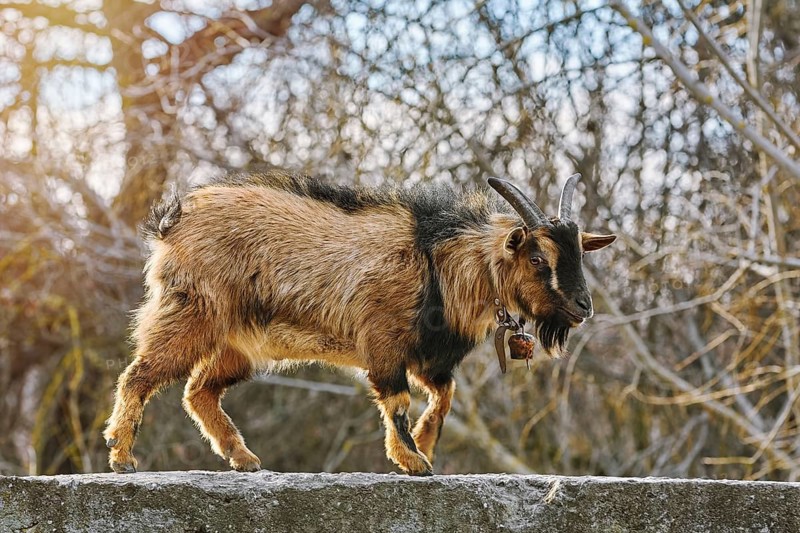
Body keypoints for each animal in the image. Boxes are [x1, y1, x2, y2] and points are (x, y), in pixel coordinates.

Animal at [104, 167, 616, 475]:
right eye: (537, 257)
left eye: (578, 253)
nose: (583, 307)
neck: (435, 258)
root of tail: (172, 221)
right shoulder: (384, 341)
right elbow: (397, 400)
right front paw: (412, 460)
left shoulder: (429, 357)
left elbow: (444, 397)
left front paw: (424, 447)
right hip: (190, 313)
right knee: (140, 374)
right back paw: (122, 455)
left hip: (237, 343)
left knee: (199, 391)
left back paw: (244, 458)